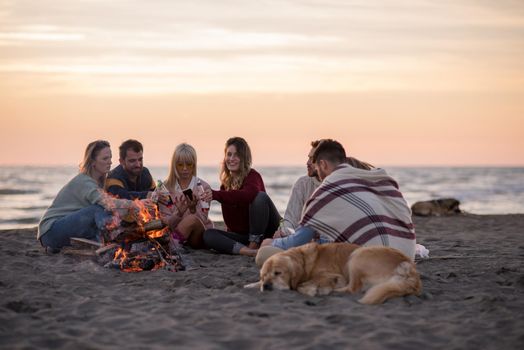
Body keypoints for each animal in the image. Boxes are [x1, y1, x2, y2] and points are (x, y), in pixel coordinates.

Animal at [245, 242, 422, 304]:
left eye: (278, 273)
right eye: (263, 276)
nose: (267, 286)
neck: (304, 260)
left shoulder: (334, 275)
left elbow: (303, 284)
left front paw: (312, 289)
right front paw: (251, 285)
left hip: (357, 255)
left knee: (353, 288)